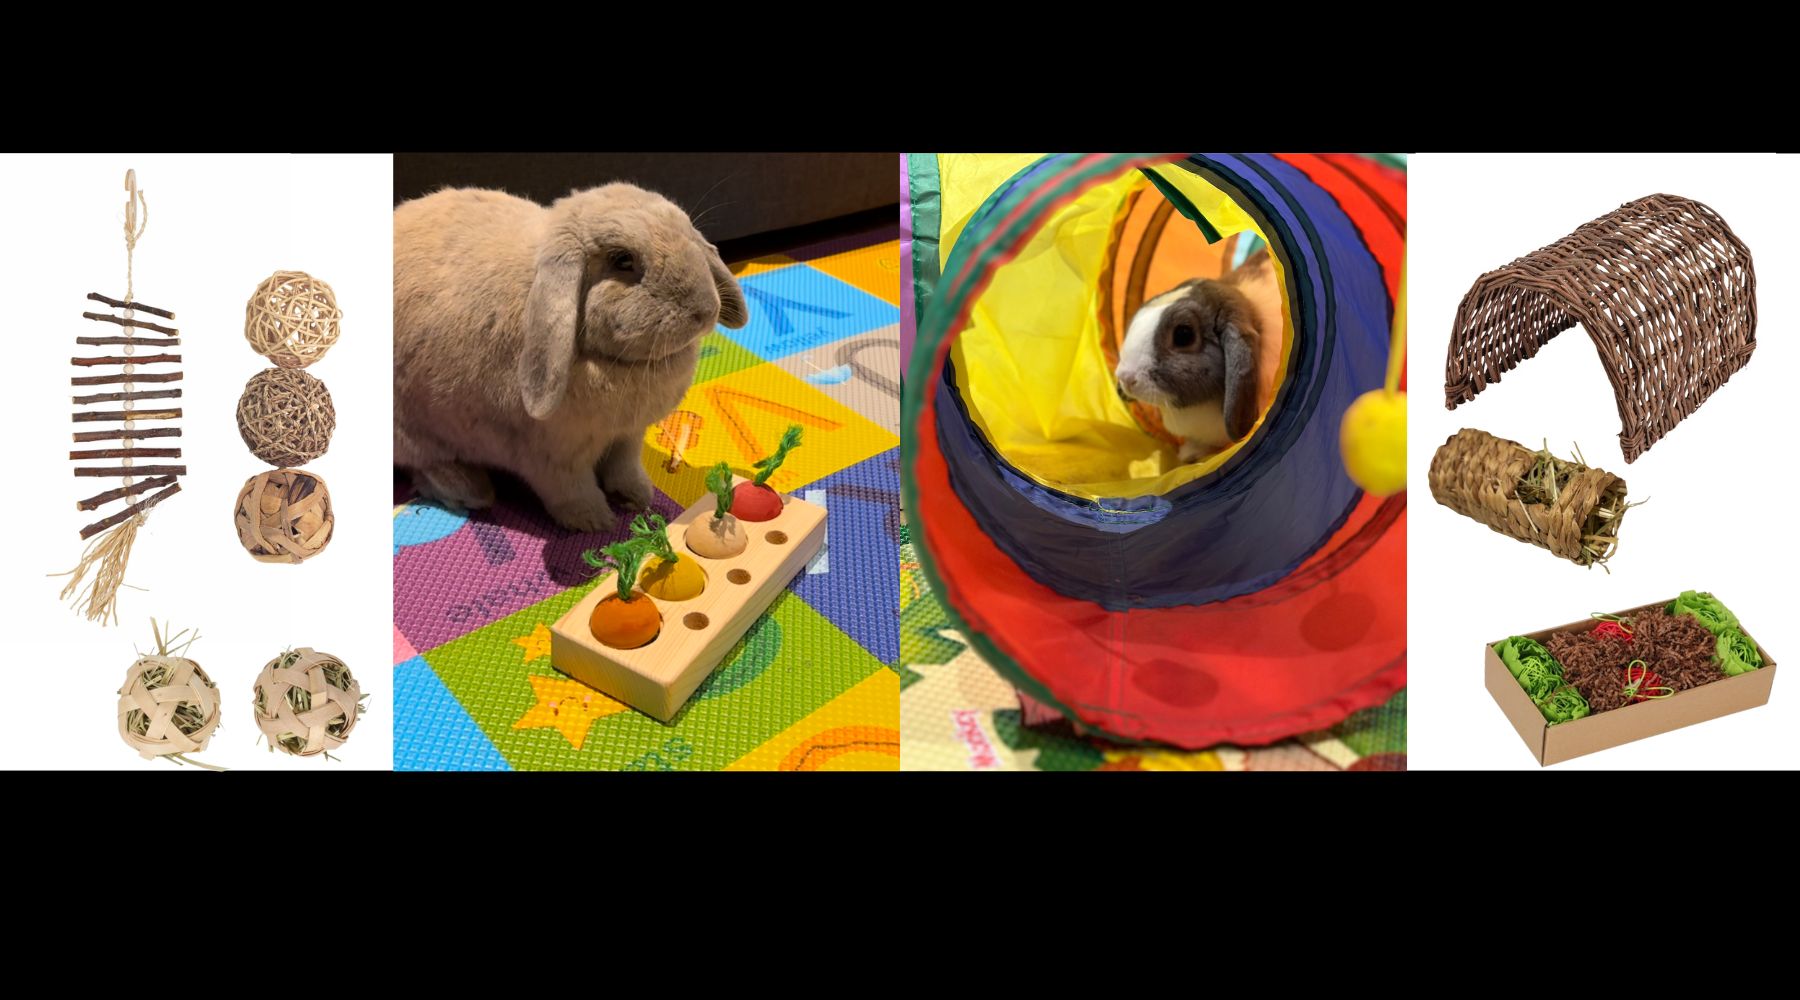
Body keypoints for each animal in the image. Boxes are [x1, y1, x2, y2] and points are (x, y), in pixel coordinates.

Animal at [394, 184, 745, 535]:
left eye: (689, 234)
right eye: (623, 260)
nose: (705, 311)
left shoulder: (628, 437)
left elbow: (625, 467)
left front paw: (637, 496)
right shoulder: (552, 458)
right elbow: (572, 491)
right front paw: (596, 522)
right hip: (415, 435)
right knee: (426, 466)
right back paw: (468, 489)